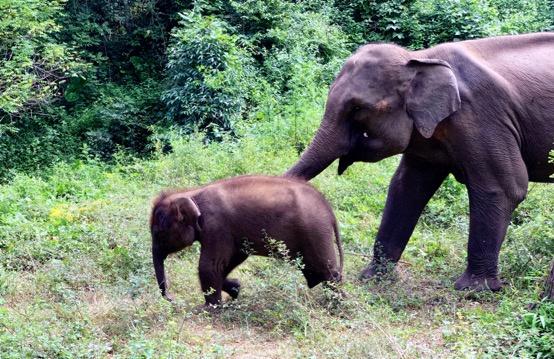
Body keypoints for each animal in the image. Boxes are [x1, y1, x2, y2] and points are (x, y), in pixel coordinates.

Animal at [150, 176, 340, 306]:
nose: (172, 299)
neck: (192, 193)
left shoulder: (216, 226)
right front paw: (235, 288)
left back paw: (336, 305)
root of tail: (328, 209)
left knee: (328, 271)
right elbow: (230, 260)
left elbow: (210, 265)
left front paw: (210, 308)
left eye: (158, 233)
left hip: (315, 231)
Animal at [284, 33, 552, 292]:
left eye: (358, 108)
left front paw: (473, 289)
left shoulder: (482, 117)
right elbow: (406, 187)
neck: (419, 58)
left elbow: (503, 188)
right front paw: (373, 277)